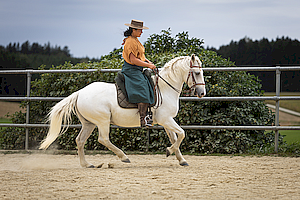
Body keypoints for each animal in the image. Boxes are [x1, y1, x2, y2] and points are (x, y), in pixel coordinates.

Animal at [39, 54, 206, 167]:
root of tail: (79, 93)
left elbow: (175, 138)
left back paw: (87, 164)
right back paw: (123, 157)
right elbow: (182, 134)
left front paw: (181, 159)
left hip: (89, 123)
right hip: (102, 121)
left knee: (80, 140)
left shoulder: (167, 122)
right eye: (197, 73)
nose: (202, 93)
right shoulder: (166, 120)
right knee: (103, 139)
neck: (165, 88)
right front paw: (169, 151)